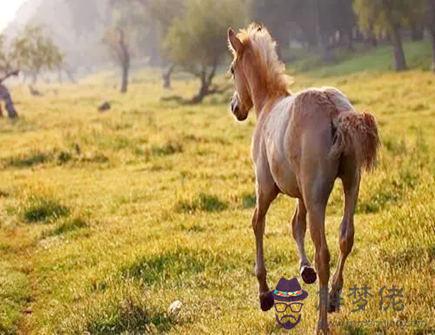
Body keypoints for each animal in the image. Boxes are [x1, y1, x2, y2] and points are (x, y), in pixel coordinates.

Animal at [227, 23, 380, 334]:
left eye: (232, 69)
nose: (235, 108)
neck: (268, 105)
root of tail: (335, 111)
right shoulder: (301, 193)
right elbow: (296, 225)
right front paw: (304, 270)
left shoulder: (266, 187)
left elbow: (258, 223)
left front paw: (264, 295)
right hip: (350, 184)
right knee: (346, 237)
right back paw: (333, 298)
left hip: (317, 196)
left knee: (324, 252)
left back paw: (321, 323)